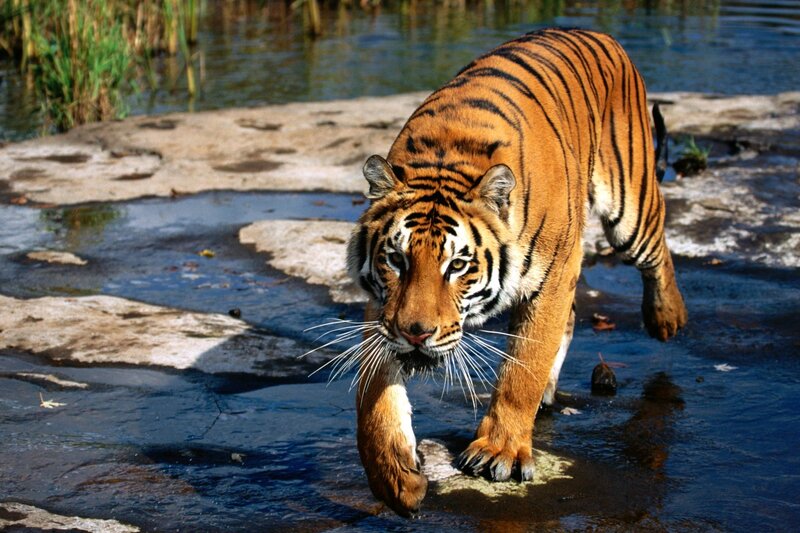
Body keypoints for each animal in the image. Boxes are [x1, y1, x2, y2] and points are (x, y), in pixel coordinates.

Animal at [344, 27, 687, 516]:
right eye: (396, 260)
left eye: (458, 265)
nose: (416, 333)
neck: (447, 159)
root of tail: (598, 32)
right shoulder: (384, 308)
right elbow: (373, 396)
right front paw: (394, 477)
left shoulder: (554, 274)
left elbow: (523, 367)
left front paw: (499, 451)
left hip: (629, 204)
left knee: (657, 248)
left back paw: (666, 317)